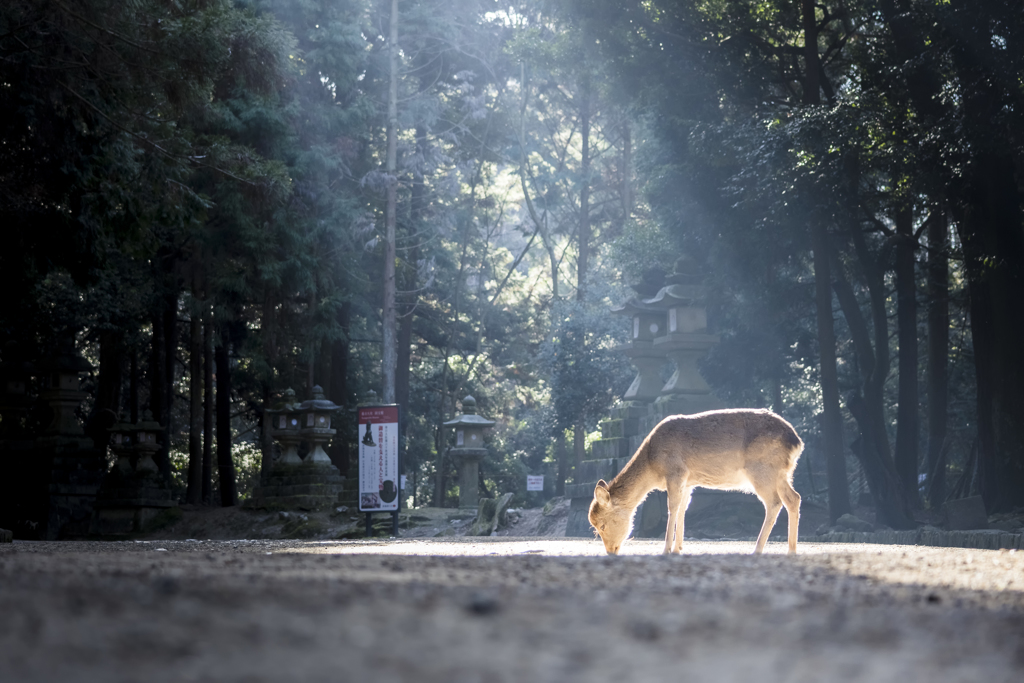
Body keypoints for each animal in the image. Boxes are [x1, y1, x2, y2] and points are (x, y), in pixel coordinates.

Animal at [589, 411, 802, 557]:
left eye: (602, 525)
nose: (610, 551)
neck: (653, 465)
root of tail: (797, 442)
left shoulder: (676, 472)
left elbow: (673, 507)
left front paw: (666, 549)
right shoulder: (689, 481)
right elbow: (683, 508)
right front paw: (678, 548)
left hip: (762, 471)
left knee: (774, 502)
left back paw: (757, 549)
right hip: (783, 474)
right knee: (794, 498)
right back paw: (791, 550)